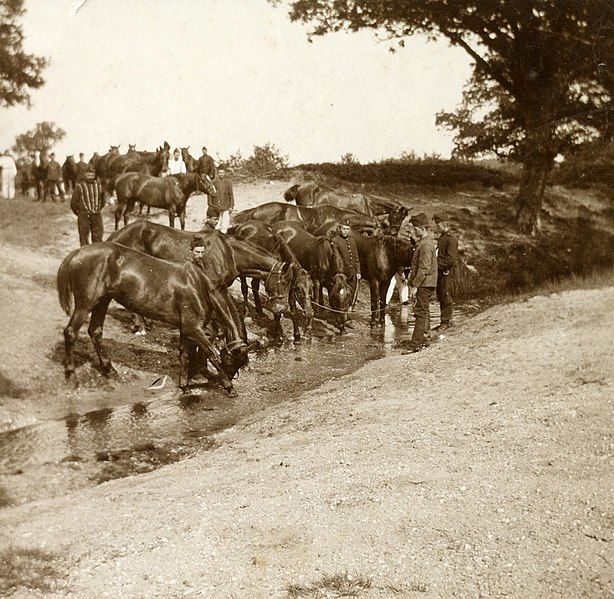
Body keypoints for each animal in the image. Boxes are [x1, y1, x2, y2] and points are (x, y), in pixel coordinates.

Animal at [57, 241, 250, 396]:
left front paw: (185, 386)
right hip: (85, 304)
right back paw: (72, 376)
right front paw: (229, 387)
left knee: (95, 331)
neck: (200, 285)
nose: (230, 376)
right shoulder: (193, 328)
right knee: (71, 332)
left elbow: (184, 354)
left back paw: (110, 371)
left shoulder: (186, 329)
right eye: (232, 361)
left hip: (102, 301)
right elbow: (213, 354)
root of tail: (77, 253)